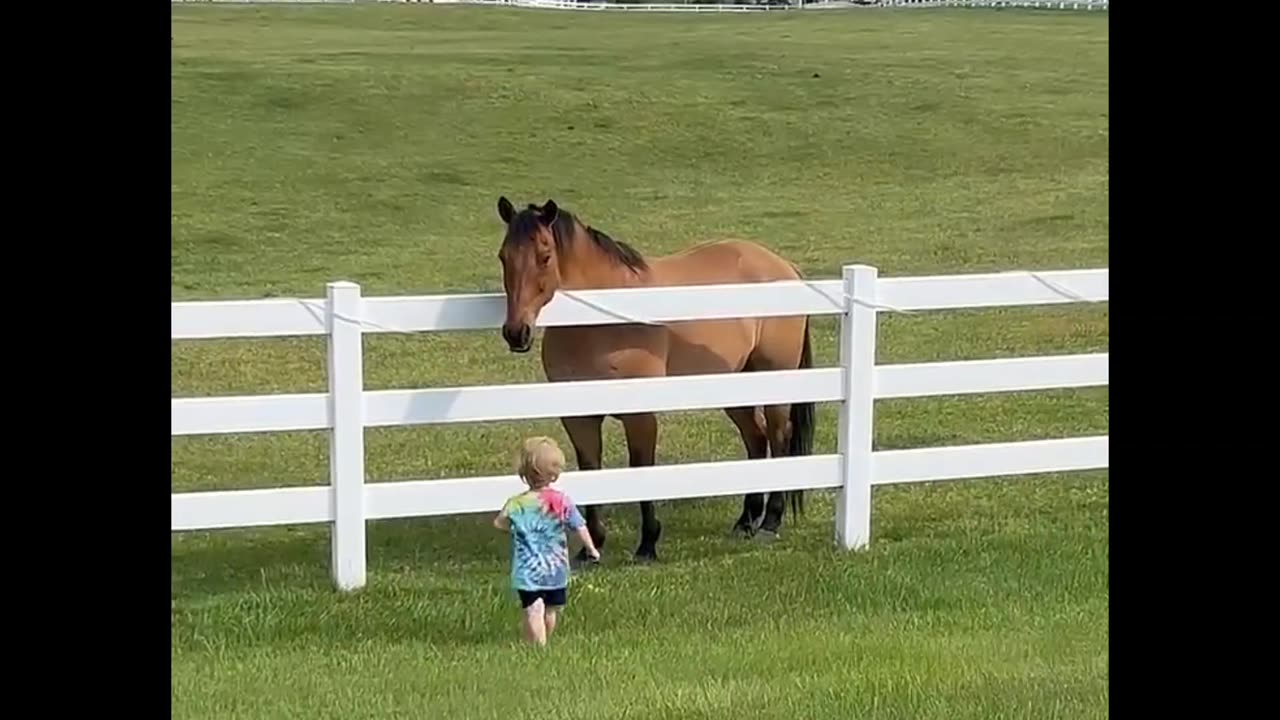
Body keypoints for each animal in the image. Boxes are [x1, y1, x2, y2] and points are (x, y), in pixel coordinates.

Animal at [494, 196, 814, 561]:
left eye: (545, 256)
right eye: (503, 256)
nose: (516, 332)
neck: (602, 323)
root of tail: (785, 267)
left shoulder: (640, 416)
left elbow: (641, 470)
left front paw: (648, 543)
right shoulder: (579, 418)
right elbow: (591, 469)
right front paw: (592, 547)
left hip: (774, 381)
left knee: (778, 437)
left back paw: (770, 522)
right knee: (756, 439)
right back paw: (746, 521)